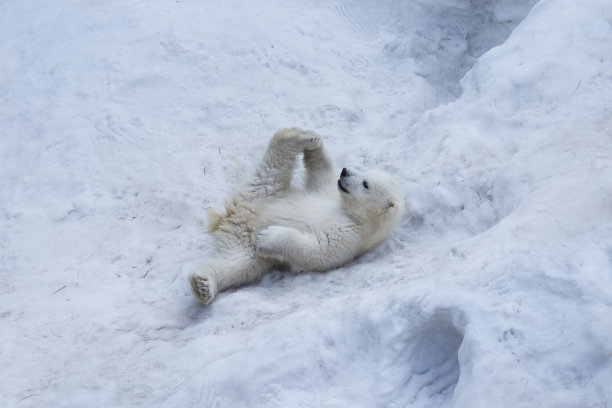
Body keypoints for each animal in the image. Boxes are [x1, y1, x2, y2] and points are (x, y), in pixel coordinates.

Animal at [189, 127, 404, 302]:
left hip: (247, 240)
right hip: (265, 193)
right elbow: (322, 172)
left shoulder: (350, 237)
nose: (344, 172)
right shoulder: (326, 192)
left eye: (365, 184)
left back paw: (203, 284)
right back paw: (306, 138)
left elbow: (315, 249)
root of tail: (232, 219)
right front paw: (316, 147)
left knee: (237, 265)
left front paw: (268, 236)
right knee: (275, 162)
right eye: (362, 172)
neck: (352, 213)